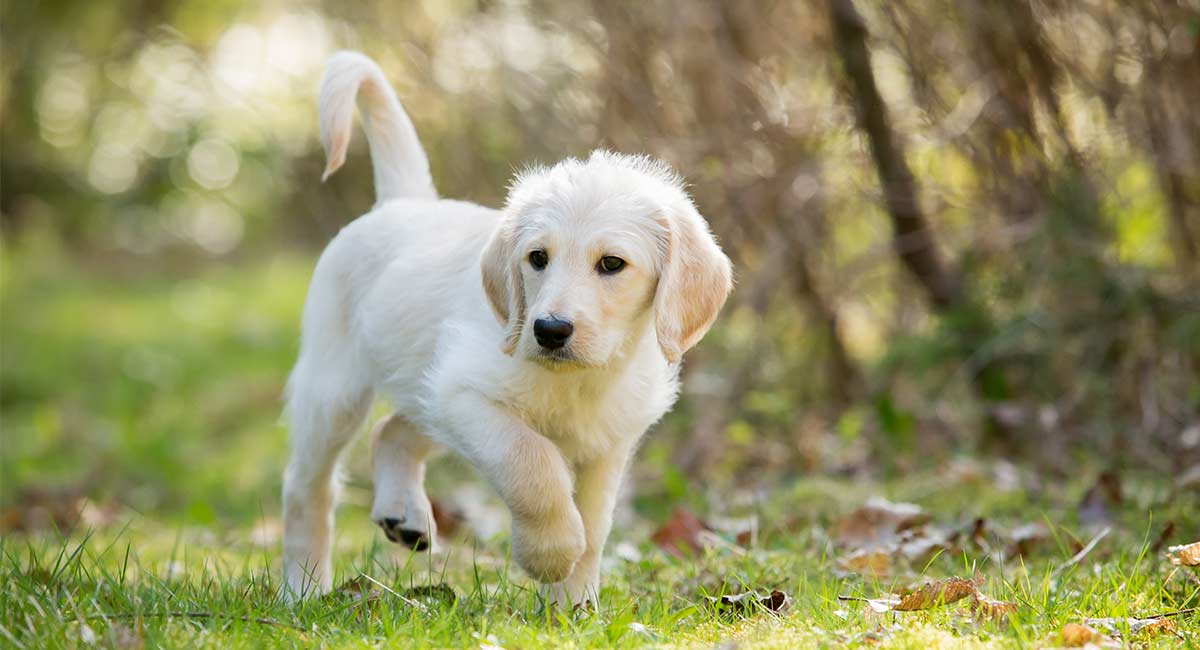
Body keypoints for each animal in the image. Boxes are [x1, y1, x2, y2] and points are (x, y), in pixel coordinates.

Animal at [280, 52, 729, 611]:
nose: (550, 330)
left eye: (612, 264)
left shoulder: (608, 443)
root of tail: (401, 202)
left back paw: (403, 514)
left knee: (393, 429)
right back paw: (302, 587)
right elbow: (532, 463)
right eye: (537, 258)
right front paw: (552, 553)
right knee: (307, 488)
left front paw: (573, 607)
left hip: (423, 388)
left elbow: (596, 524)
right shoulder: (466, 395)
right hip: (335, 390)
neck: (578, 380)